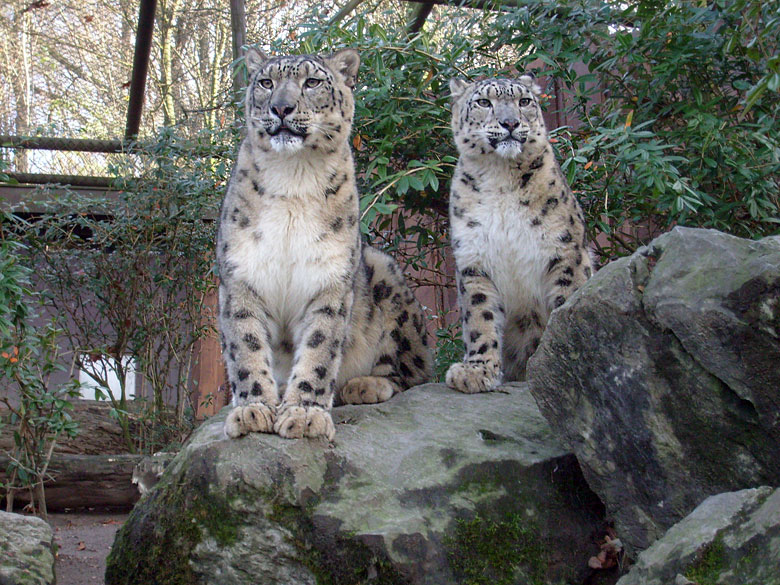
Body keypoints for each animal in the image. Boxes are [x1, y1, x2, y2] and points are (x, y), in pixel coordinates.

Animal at [218, 49, 432, 438]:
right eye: (266, 82)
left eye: (312, 82)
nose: (281, 107)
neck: (292, 179)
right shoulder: (241, 275)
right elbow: (246, 346)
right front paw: (254, 409)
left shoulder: (329, 278)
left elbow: (319, 348)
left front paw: (304, 415)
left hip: (385, 274)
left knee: (416, 372)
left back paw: (365, 385)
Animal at [448, 74, 596, 392]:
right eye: (483, 102)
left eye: (524, 101)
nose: (510, 123)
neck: (500, 178)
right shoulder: (474, 259)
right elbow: (480, 316)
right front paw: (477, 371)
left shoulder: (566, 251)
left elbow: (567, 301)